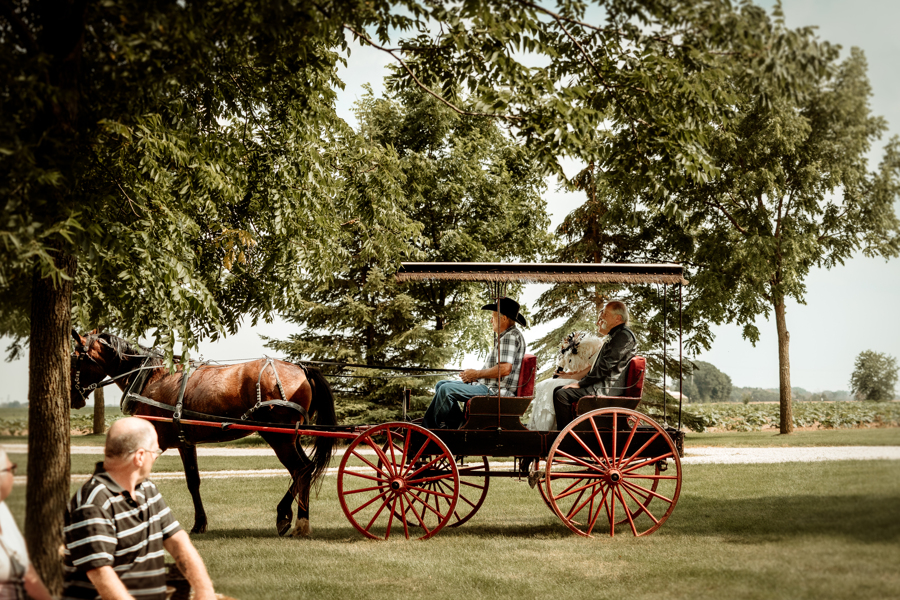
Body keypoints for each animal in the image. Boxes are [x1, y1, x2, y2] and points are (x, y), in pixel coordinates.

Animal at [69, 330, 338, 536]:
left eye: (75, 360)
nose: (73, 398)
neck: (152, 376)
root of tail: (301, 368)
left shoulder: (154, 441)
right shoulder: (186, 442)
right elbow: (193, 481)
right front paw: (200, 523)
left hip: (279, 436)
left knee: (301, 470)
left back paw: (292, 519)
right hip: (289, 436)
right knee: (306, 469)